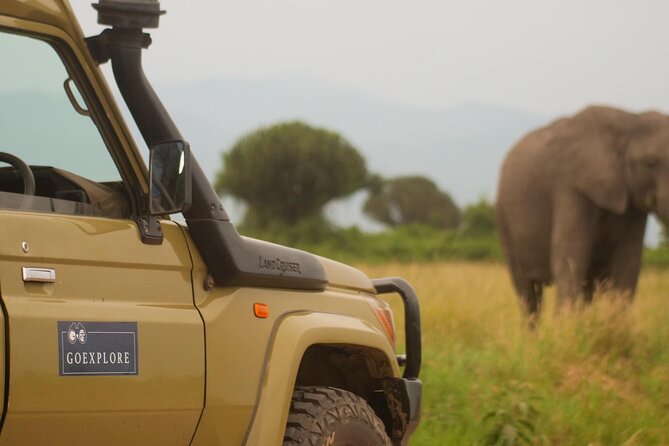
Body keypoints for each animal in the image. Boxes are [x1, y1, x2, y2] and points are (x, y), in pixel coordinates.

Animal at [496, 105, 669, 322]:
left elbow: (627, 267)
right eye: (650, 163)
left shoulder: (633, 204)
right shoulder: (570, 187)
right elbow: (570, 261)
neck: (631, 120)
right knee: (527, 292)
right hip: (504, 219)